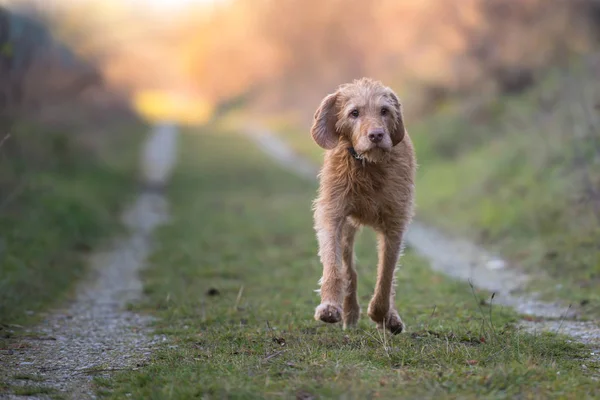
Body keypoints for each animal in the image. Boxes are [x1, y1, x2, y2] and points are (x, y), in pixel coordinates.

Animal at [312, 78, 414, 334]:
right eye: (354, 113)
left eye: (385, 111)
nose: (376, 134)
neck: (367, 165)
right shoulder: (332, 212)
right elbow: (333, 263)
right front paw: (329, 305)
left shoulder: (395, 220)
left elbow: (386, 273)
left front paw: (381, 314)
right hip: (348, 229)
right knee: (349, 270)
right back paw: (349, 311)